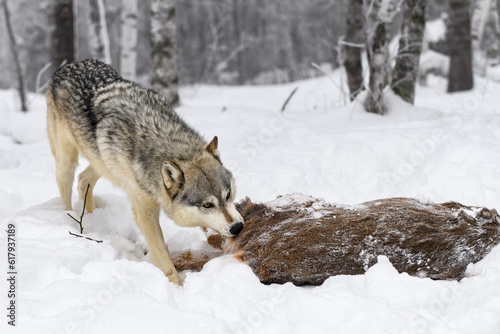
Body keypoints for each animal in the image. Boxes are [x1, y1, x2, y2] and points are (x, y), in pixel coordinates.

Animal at [46, 59, 245, 284]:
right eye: (208, 205)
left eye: (228, 195)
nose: (238, 227)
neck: (161, 139)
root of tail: (69, 65)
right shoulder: (144, 212)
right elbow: (165, 261)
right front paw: (176, 288)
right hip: (68, 162)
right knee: (68, 188)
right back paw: (72, 219)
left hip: (101, 163)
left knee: (83, 179)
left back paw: (91, 215)